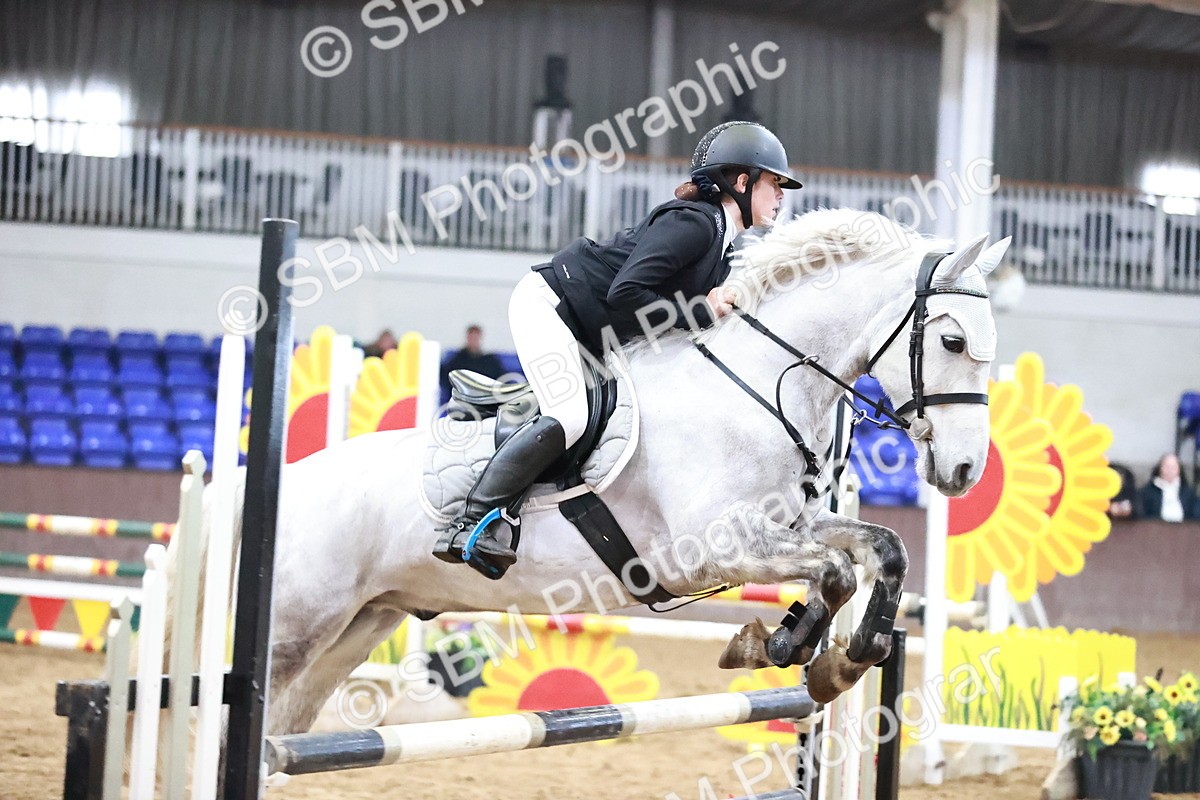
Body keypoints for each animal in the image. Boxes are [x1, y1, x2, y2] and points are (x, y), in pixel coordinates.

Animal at [173, 208, 1007, 736]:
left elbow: (875, 551)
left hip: (358, 625)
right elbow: (834, 570)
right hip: (293, 626)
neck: (755, 383)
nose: (965, 469)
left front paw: (830, 653)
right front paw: (791, 648)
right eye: (954, 340)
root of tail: (265, 483)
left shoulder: (785, 526)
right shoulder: (712, 548)